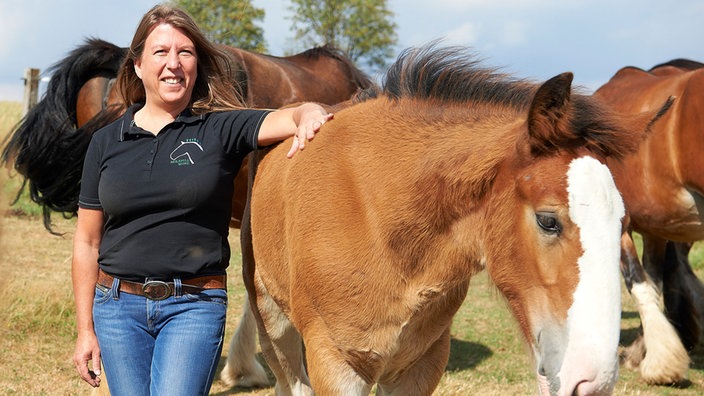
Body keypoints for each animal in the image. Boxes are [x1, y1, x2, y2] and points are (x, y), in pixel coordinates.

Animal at [242, 44, 664, 396]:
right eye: (548, 221)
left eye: (623, 225)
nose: (593, 382)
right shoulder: (336, 365)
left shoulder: (420, 365)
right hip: (274, 324)